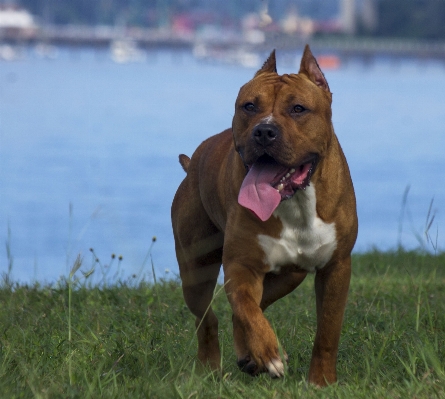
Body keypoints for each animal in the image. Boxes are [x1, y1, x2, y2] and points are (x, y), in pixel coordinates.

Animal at [170, 44, 358, 388]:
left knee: (249, 307)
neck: (296, 202)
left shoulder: (336, 268)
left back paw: (247, 356)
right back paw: (211, 367)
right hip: (195, 271)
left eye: (298, 109)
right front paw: (268, 353)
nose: (264, 130)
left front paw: (321, 382)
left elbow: (328, 330)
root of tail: (193, 165)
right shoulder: (241, 266)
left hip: (289, 276)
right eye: (249, 106)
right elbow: (247, 308)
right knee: (210, 318)